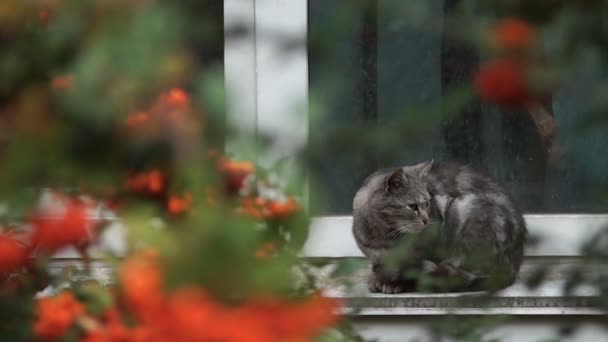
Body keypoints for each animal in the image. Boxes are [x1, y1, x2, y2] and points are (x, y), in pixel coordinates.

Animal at [352, 161, 528, 294]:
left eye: (427, 203)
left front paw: (393, 283)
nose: (427, 220)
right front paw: (378, 279)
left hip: (464, 211)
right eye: (413, 206)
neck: (386, 238)